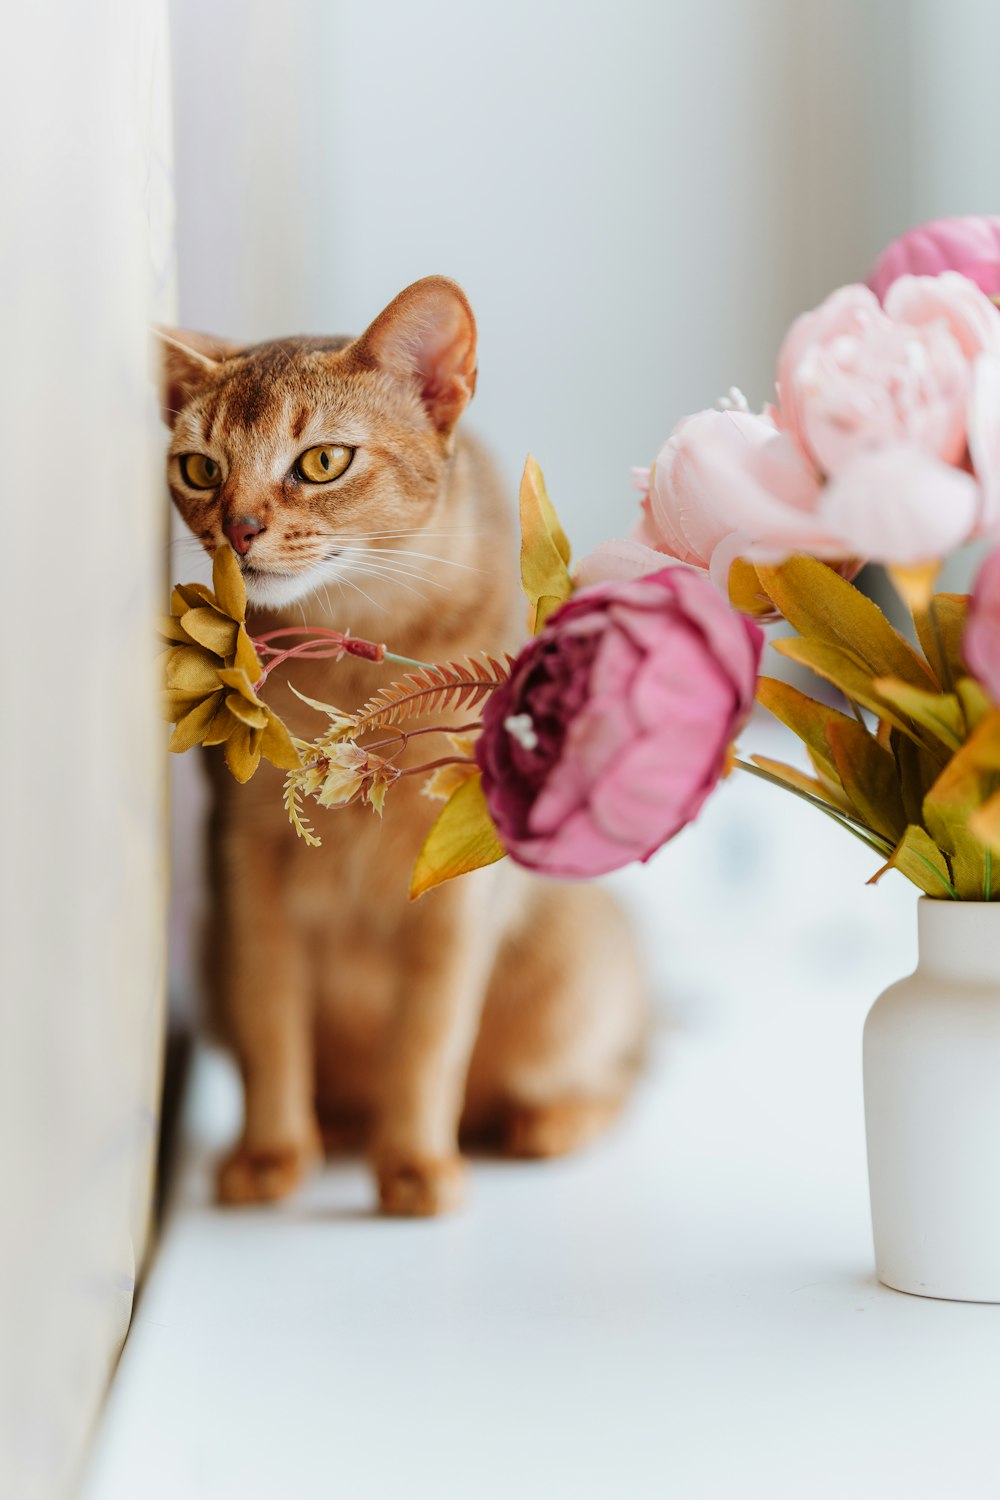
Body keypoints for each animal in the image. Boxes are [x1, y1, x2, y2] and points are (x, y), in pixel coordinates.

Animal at [158, 279, 650, 1218]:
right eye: (200, 468)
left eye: (322, 461)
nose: (239, 529)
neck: (354, 647)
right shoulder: (244, 861)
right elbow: (271, 1019)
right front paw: (270, 1154)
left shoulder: (457, 873)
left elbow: (429, 1033)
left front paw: (417, 1165)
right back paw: (342, 1127)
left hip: (574, 966)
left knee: (628, 1067)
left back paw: (546, 1121)